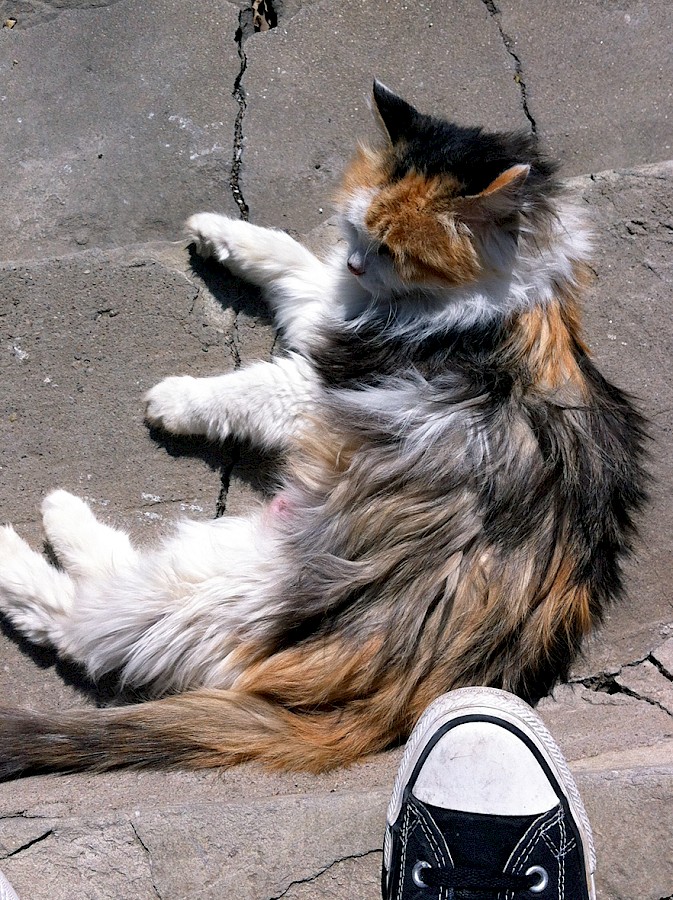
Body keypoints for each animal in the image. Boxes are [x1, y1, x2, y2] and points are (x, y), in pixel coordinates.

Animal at [0, 81, 644, 776]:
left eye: (394, 251)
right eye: (358, 229)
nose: (358, 264)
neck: (499, 295)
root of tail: (395, 704)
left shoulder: (329, 383)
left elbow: (252, 386)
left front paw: (173, 399)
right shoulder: (335, 307)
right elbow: (291, 258)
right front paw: (216, 230)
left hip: (226, 585)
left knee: (89, 622)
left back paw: (44, 523)